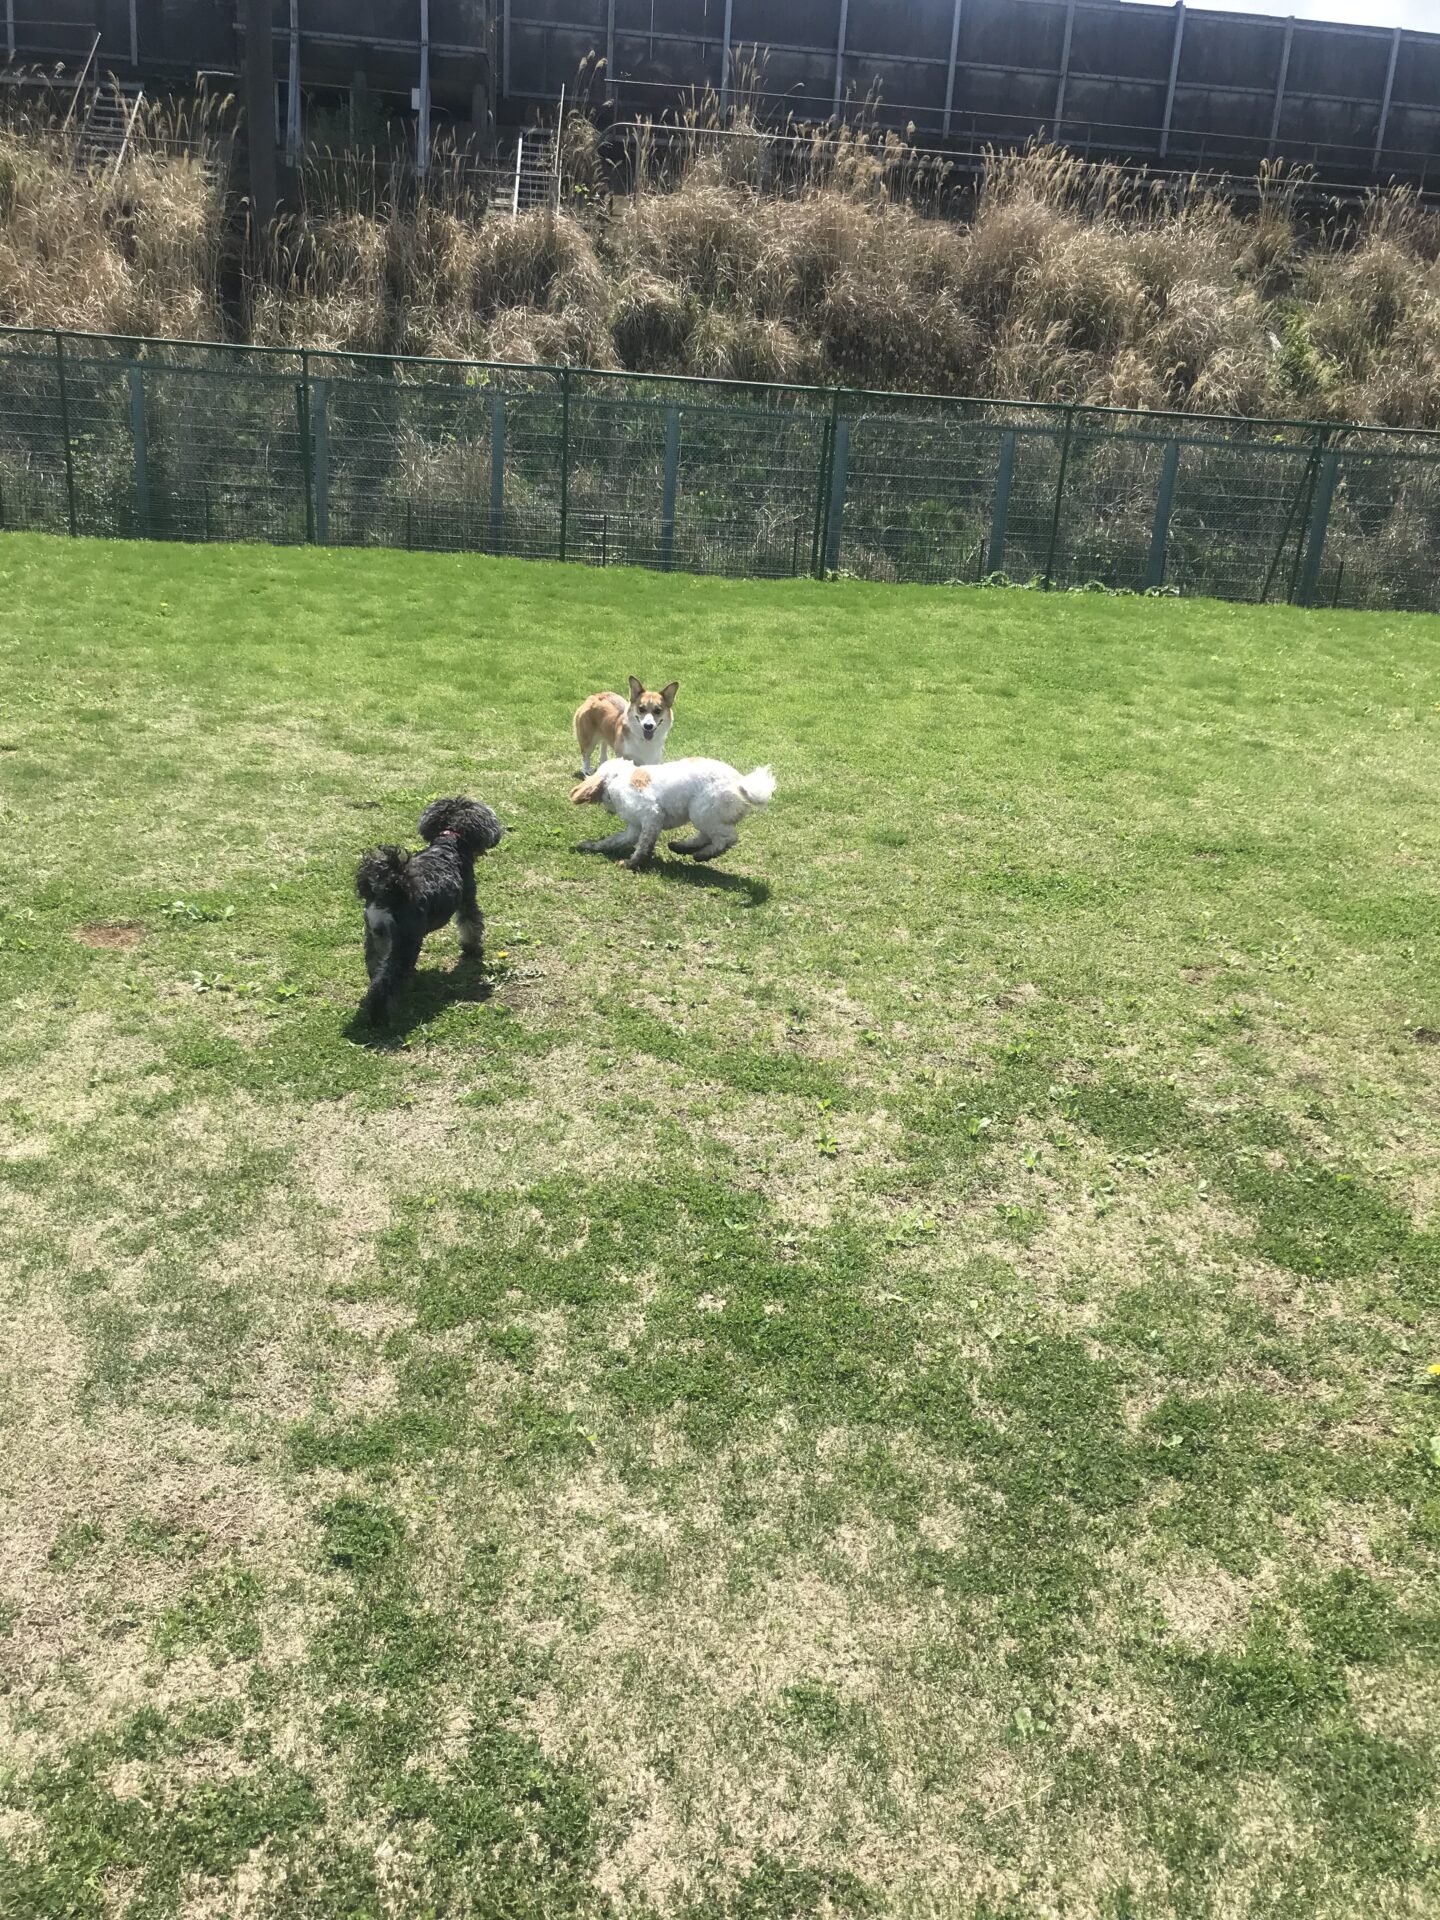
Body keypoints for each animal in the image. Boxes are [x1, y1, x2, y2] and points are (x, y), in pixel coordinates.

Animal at [354, 796, 503, 1021]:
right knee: (387, 981)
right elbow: (472, 927)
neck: (449, 842)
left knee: (377, 971)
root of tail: (389, 892)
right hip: (406, 943)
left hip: (375, 940)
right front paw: (473, 950)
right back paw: (381, 1015)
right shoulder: (468, 901)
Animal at [571, 757, 774, 870]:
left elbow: (644, 845)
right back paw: (682, 847)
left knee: (727, 838)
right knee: (706, 836)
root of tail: (742, 784)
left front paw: (632, 863)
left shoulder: (652, 815)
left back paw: (704, 854)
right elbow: (611, 841)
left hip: (702, 812)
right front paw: (590, 845)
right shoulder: (634, 828)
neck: (618, 777)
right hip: (705, 816)